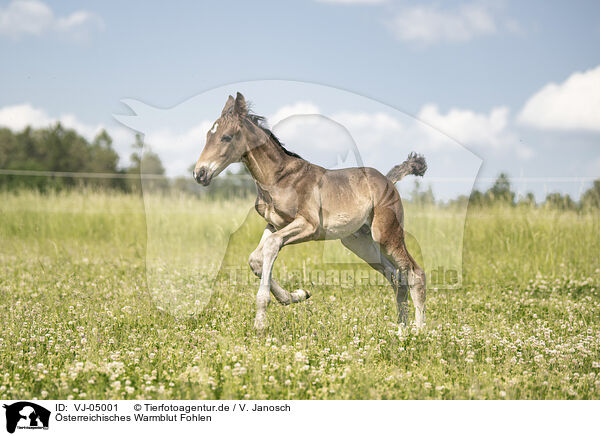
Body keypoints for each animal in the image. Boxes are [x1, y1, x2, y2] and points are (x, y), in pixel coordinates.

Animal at [193, 93, 426, 330]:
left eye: (226, 137)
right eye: (208, 135)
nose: (199, 173)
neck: (279, 178)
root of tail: (388, 180)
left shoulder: (308, 225)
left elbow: (271, 246)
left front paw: (260, 320)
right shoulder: (274, 224)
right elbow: (256, 259)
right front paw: (297, 295)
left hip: (386, 234)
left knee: (414, 273)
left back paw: (417, 330)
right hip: (360, 243)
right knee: (396, 276)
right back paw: (401, 327)